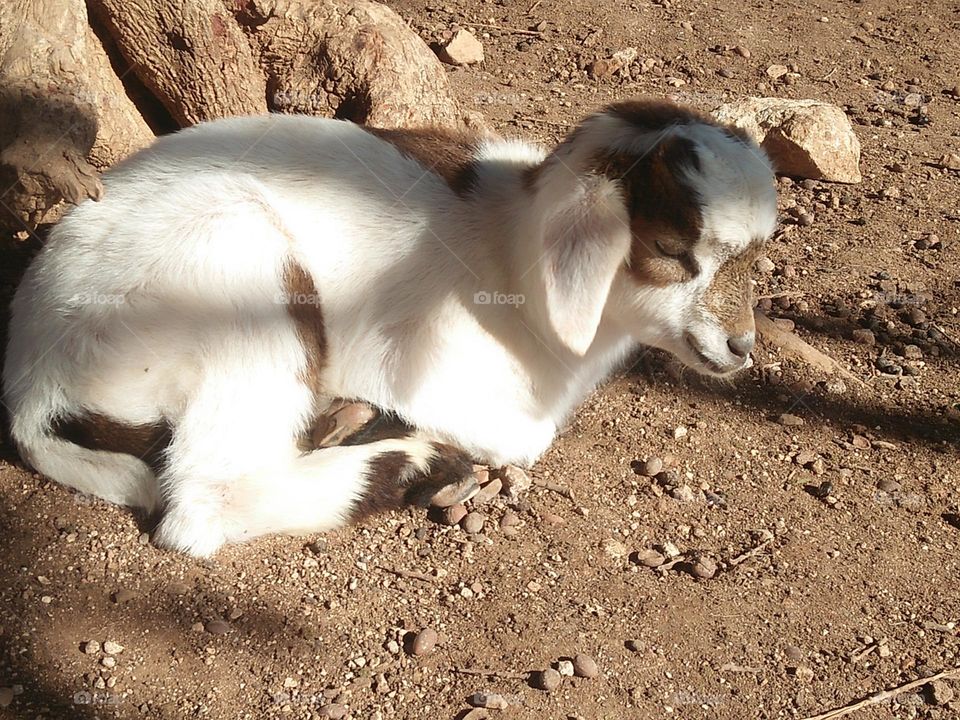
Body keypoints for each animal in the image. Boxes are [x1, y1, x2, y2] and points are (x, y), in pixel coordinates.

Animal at [3, 98, 776, 556]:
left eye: (756, 254)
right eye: (671, 249)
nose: (740, 346)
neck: (506, 248)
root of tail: (33, 383)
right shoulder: (425, 365)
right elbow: (526, 436)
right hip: (236, 275)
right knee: (204, 499)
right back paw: (415, 462)